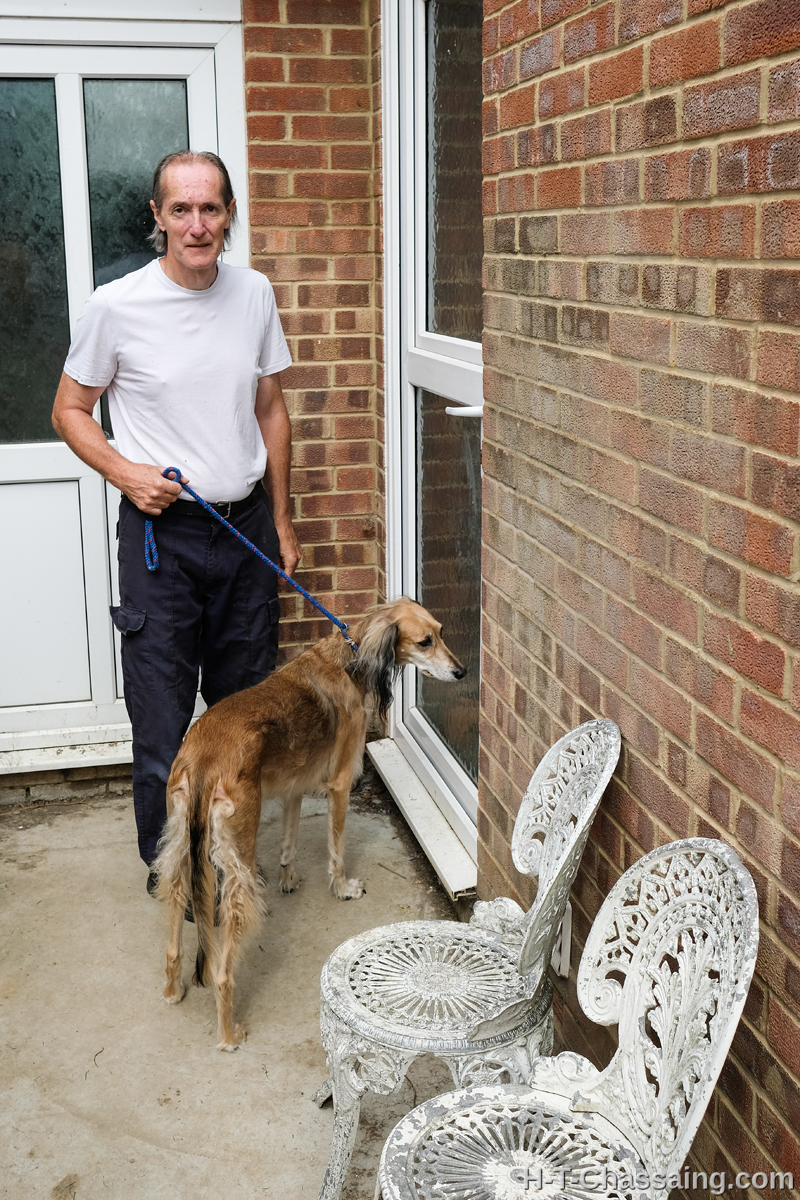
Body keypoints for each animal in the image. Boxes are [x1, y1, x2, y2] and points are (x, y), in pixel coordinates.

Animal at [152, 597, 465, 1050]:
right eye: (425, 641)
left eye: (441, 632)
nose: (461, 672)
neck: (350, 657)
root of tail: (206, 756)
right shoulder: (340, 784)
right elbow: (336, 848)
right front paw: (343, 887)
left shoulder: (293, 787)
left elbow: (290, 840)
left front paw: (289, 878)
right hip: (237, 858)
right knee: (222, 970)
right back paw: (229, 1032)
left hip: (179, 849)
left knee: (174, 925)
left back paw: (173, 990)